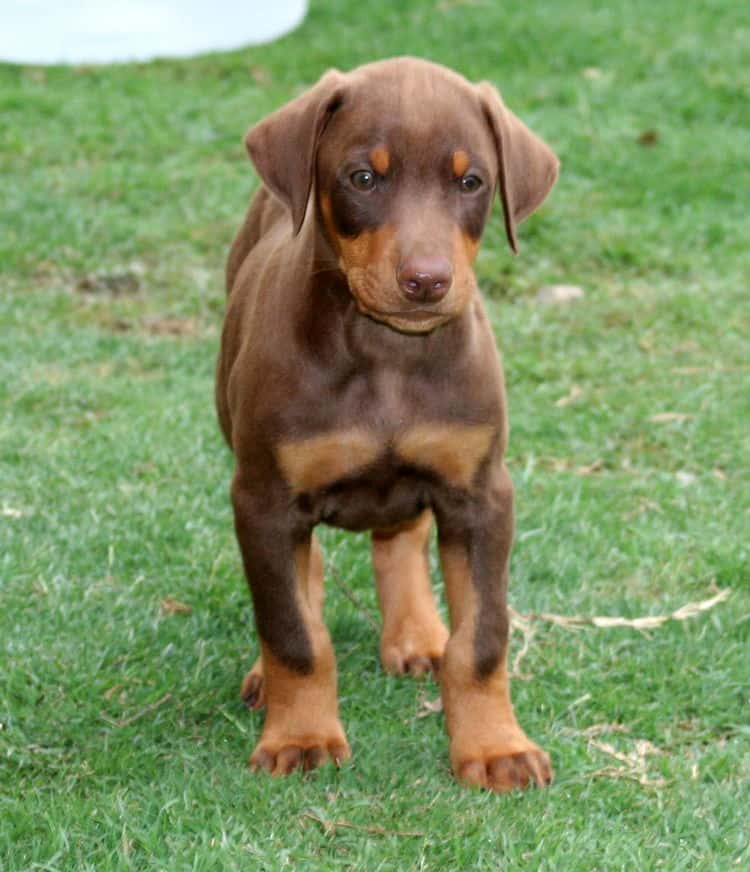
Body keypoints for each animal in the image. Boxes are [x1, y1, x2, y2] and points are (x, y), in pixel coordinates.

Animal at [216, 54, 560, 792]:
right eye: (363, 178)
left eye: (471, 181)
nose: (426, 281)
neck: (387, 356)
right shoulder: (263, 497)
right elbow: (292, 631)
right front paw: (302, 734)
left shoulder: (481, 493)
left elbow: (482, 637)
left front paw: (495, 746)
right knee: (301, 578)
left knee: (400, 536)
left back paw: (418, 634)